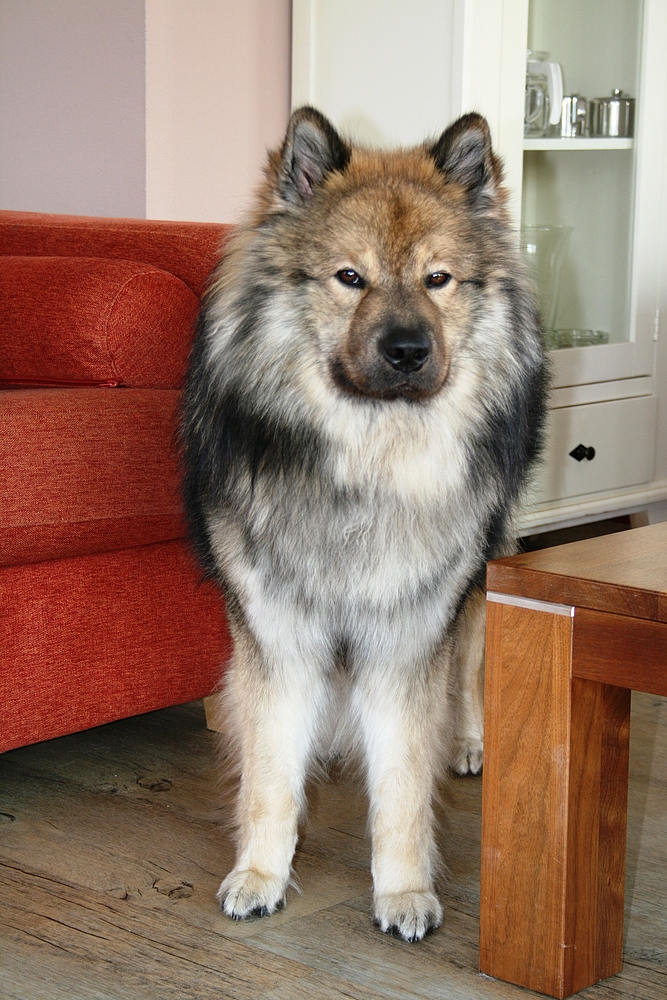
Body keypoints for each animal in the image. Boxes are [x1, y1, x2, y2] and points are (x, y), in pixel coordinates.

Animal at [183, 105, 548, 940]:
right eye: (350, 278)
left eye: (437, 279)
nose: (407, 349)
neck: (368, 465)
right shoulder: (276, 634)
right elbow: (269, 774)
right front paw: (260, 875)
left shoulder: (410, 631)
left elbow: (405, 783)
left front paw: (404, 891)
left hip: (477, 575)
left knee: (471, 663)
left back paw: (469, 741)